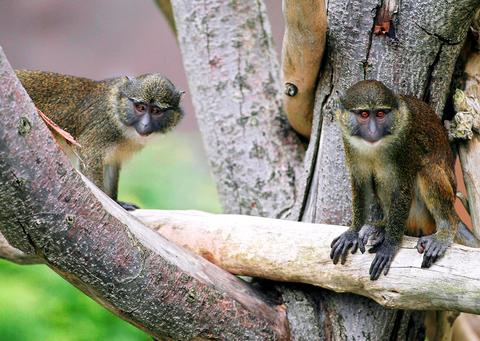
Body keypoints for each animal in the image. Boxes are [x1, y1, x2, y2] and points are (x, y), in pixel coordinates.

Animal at [15, 69, 185, 210]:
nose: (145, 124)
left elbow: (110, 167)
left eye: (156, 111)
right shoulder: (102, 128)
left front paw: (117, 203)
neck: (117, 109)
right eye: (141, 107)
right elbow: (90, 157)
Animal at [330, 79, 480, 278]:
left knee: (428, 169)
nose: (372, 131)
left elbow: (402, 188)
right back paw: (382, 226)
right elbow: (360, 184)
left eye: (380, 114)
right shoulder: (349, 143)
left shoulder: (405, 141)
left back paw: (445, 229)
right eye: (364, 114)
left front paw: (389, 246)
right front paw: (353, 232)